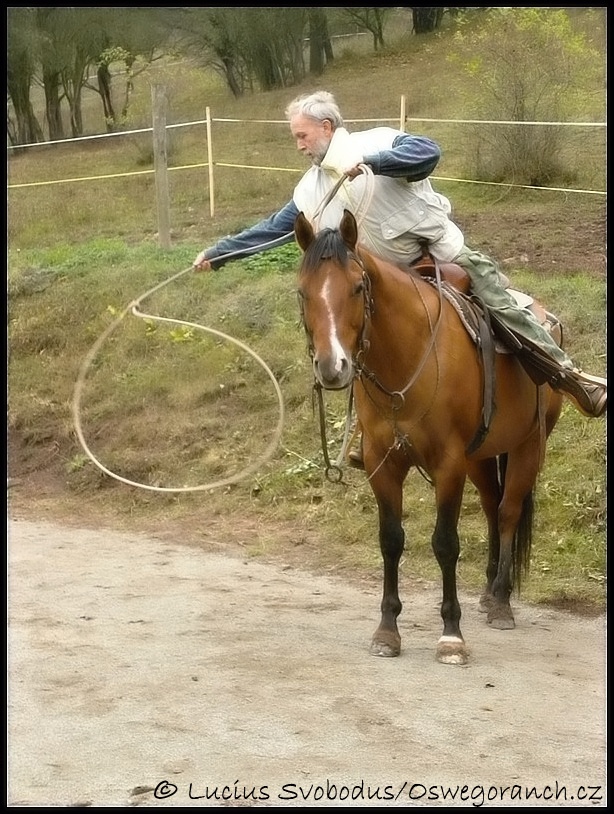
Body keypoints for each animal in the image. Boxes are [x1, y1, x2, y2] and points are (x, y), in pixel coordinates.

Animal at [296, 210, 564, 668]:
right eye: (303, 292)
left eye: (358, 286)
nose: (333, 367)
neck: (406, 355)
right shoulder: (382, 463)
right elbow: (391, 540)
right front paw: (387, 630)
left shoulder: (449, 465)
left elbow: (445, 543)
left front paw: (451, 635)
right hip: (482, 456)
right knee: (492, 507)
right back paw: (488, 592)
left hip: (528, 446)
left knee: (508, 512)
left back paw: (501, 603)